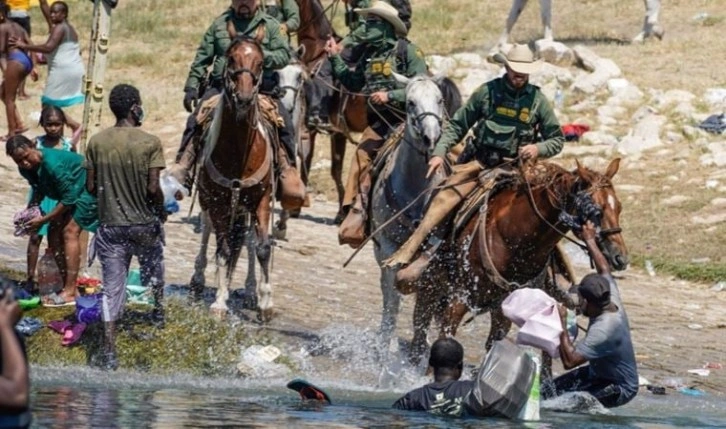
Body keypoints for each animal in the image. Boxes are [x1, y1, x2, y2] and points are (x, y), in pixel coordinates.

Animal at [189, 35, 274, 320]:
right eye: (231, 58)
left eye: (260, 62)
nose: (245, 98)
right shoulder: (217, 203)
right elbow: (223, 249)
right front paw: (220, 301)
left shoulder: (261, 199)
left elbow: (262, 248)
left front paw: (265, 302)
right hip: (209, 202)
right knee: (208, 231)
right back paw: (198, 280)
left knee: (247, 241)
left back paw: (249, 291)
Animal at [410, 159, 632, 362]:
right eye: (597, 211)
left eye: (620, 207)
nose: (620, 257)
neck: (514, 240)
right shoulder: (459, 299)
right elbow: (444, 339)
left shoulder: (502, 309)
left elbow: (492, 346)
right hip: (430, 283)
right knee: (419, 330)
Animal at [498, 0, 664, 48]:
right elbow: (512, 17)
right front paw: (499, 46)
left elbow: (545, 16)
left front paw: (547, 41)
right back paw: (642, 37)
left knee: (652, 8)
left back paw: (655, 31)